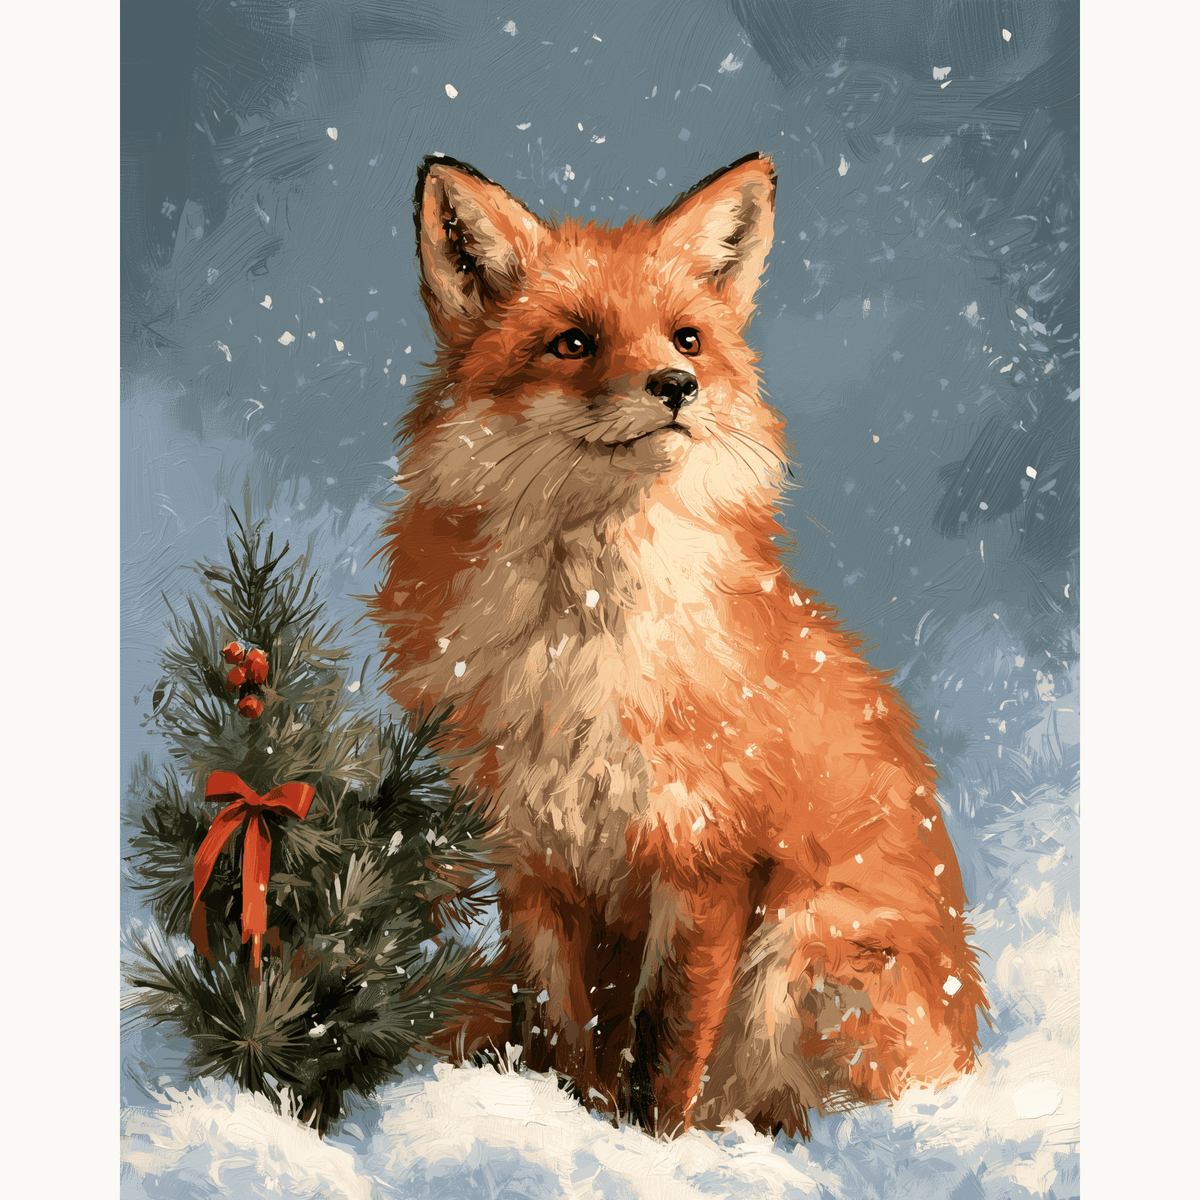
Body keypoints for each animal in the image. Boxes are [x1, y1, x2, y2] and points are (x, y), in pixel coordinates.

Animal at [371, 152, 986, 1137]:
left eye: (687, 340)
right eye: (573, 343)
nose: (674, 387)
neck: (581, 643)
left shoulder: (703, 855)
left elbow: (664, 1049)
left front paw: (647, 1152)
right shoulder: (531, 857)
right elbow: (556, 1034)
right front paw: (556, 1130)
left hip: (803, 950)